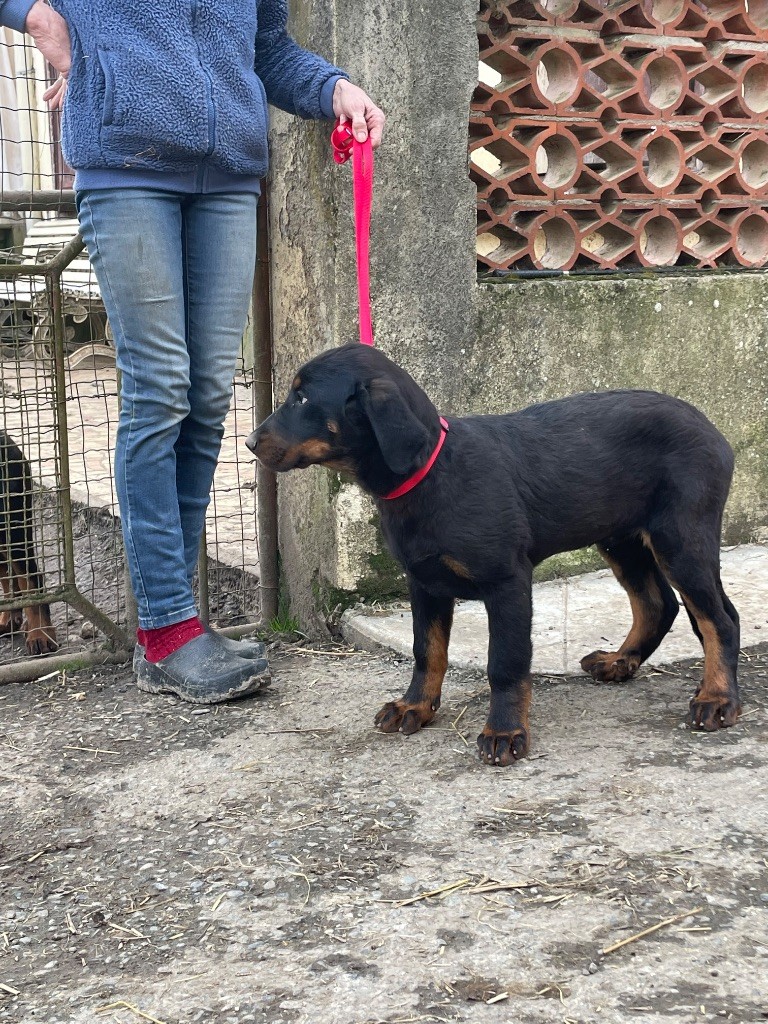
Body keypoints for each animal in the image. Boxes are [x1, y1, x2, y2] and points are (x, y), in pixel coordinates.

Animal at [246, 346, 741, 770]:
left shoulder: (507, 583)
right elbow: (427, 651)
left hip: (680, 537)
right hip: (621, 538)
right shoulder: (424, 583)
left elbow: (504, 662)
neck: (432, 474)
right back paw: (621, 661)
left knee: (719, 618)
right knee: (658, 603)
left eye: (302, 397)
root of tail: (712, 428)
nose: (249, 442)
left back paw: (717, 699)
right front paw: (415, 705)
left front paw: (504, 732)